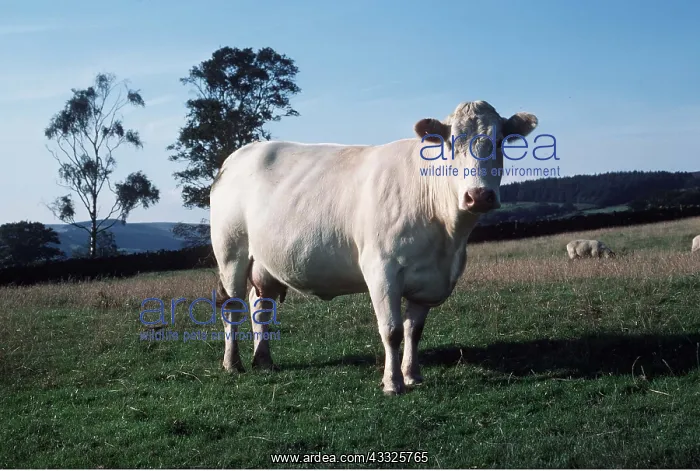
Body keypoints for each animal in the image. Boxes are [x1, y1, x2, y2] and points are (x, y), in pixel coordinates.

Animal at [210, 100, 539, 395]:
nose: (479, 196)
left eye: (500, 141)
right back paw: (232, 363)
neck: (448, 239)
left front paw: (413, 375)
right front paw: (393, 383)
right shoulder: (382, 269)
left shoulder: (429, 280)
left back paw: (264, 360)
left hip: (264, 264)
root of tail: (238, 155)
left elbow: (414, 330)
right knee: (233, 307)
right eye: (451, 143)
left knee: (260, 305)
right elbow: (392, 330)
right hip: (231, 253)